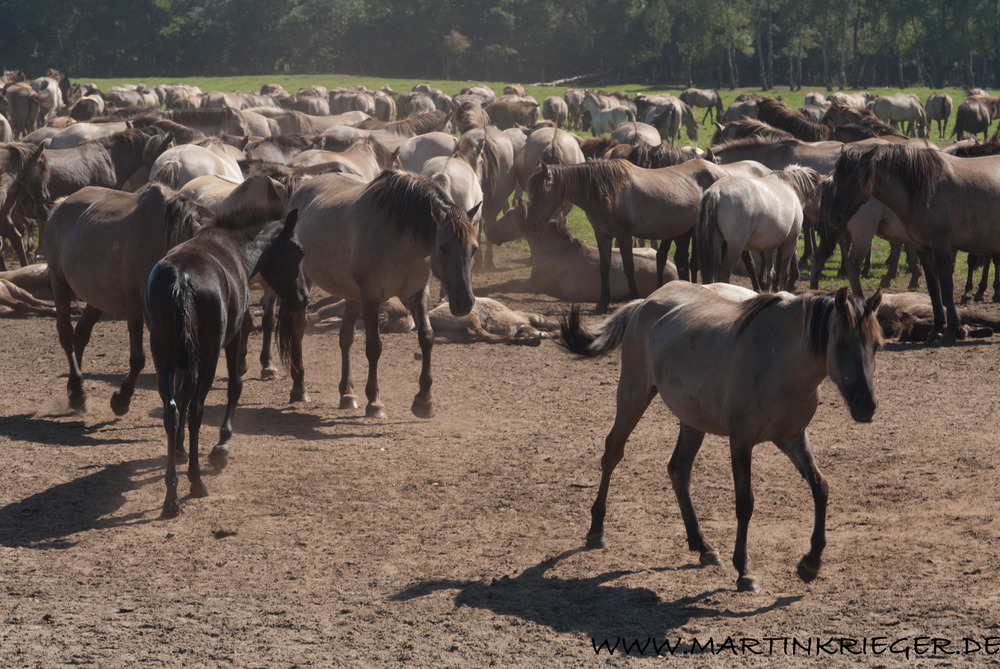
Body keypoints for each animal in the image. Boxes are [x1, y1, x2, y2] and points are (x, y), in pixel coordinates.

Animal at [146, 209, 306, 516]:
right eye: (299, 251)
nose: (304, 299)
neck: (236, 247)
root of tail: (181, 278)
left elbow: (182, 394)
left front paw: (180, 449)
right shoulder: (235, 336)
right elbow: (235, 385)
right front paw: (222, 447)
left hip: (164, 356)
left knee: (172, 410)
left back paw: (171, 495)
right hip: (208, 354)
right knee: (196, 409)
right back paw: (196, 482)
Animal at [556, 280, 884, 588]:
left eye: (877, 345)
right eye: (840, 343)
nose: (866, 406)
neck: (780, 361)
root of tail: (645, 302)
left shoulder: (792, 438)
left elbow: (820, 487)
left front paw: (810, 564)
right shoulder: (741, 441)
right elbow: (745, 503)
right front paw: (744, 571)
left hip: (692, 420)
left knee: (679, 471)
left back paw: (702, 546)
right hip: (633, 395)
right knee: (613, 452)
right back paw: (596, 531)